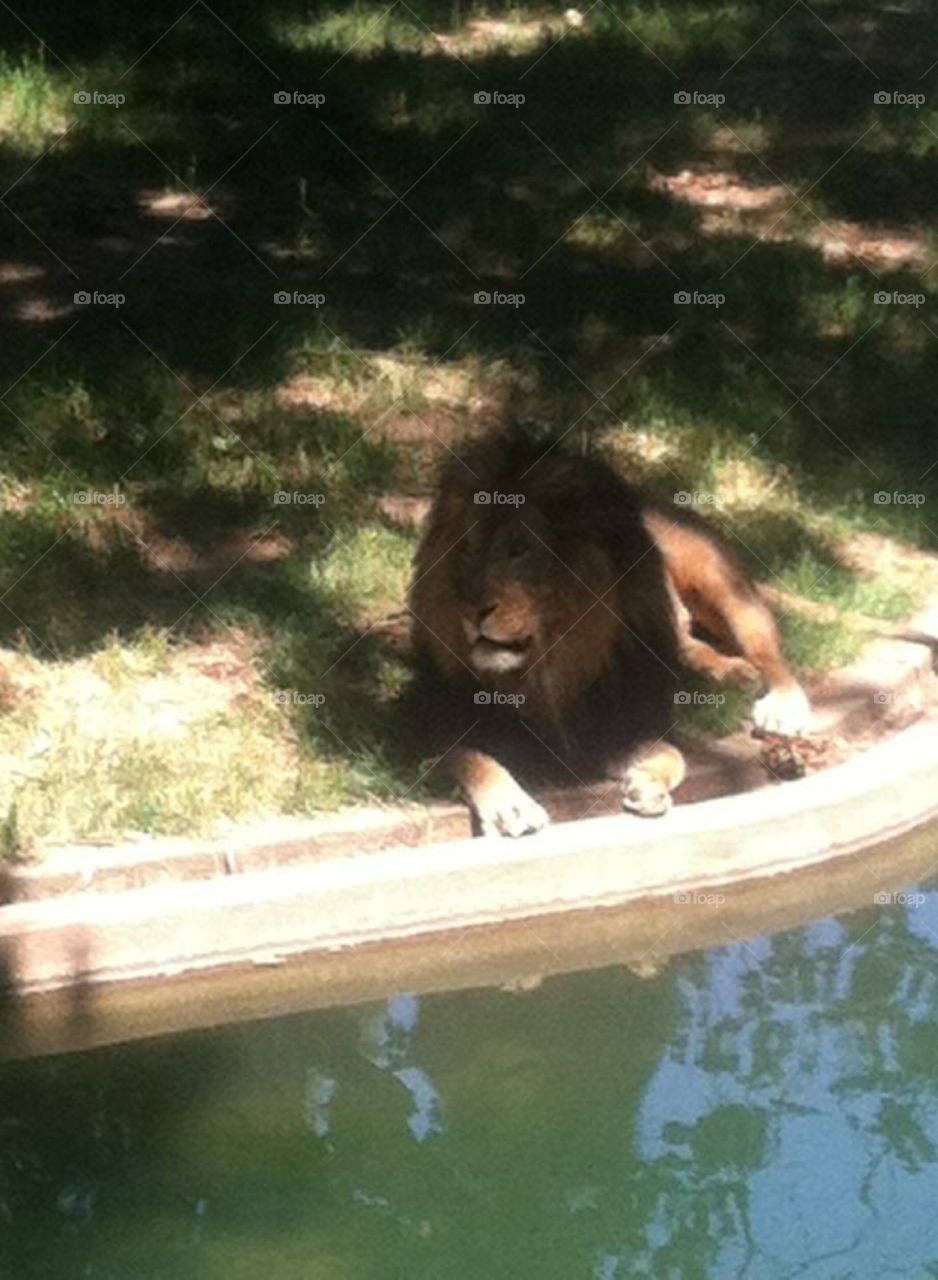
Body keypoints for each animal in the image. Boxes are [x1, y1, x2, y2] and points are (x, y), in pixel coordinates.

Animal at [407, 432, 810, 837]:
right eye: (469, 547)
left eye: (520, 549)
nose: (470, 609)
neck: (551, 666)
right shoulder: (425, 726)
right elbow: (470, 757)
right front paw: (511, 806)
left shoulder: (627, 723)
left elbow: (674, 754)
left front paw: (647, 784)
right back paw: (726, 673)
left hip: (720, 585)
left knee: (765, 648)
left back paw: (780, 704)